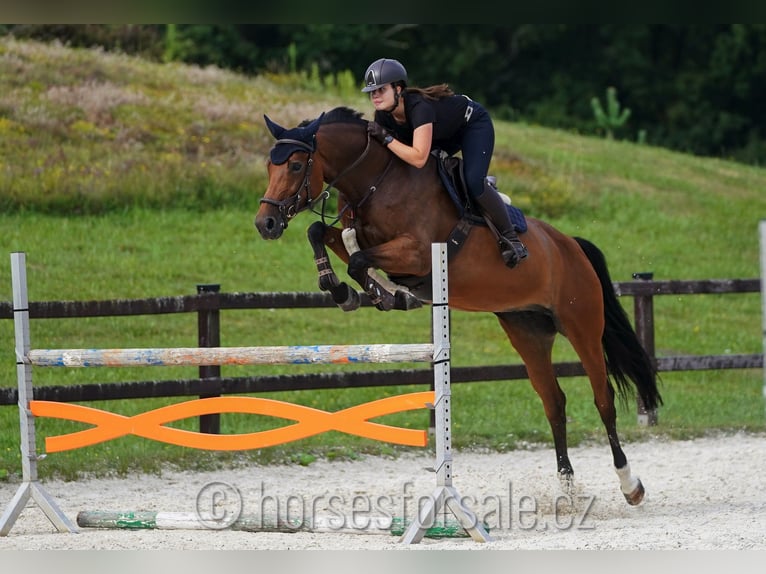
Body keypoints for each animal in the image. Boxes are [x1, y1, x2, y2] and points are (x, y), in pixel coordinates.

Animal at [255, 106, 664, 506]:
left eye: (295, 165)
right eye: (269, 167)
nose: (266, 224)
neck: (376, 182)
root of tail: (572, 246)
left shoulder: (418, 253)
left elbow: (358, 260)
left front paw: (382, 294)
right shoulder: (360, 236)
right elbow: (323, 234)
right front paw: (342, 290)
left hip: (582, 326)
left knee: (603, 399)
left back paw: (630, 485)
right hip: (527, 331)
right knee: (554, 402)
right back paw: (566, 490)